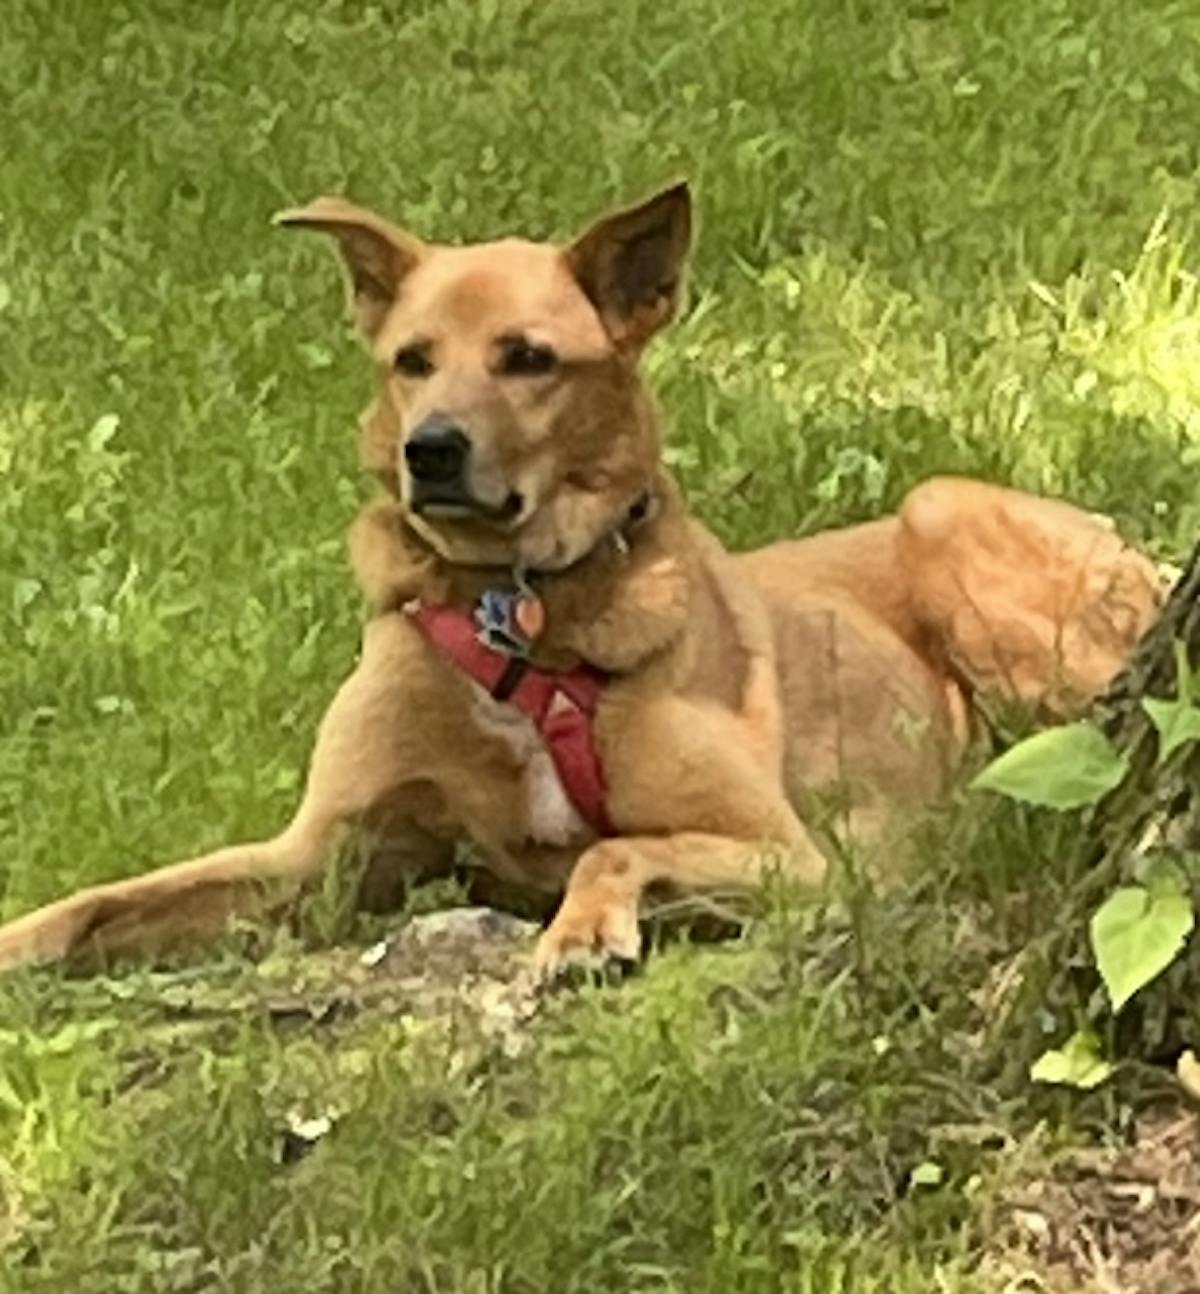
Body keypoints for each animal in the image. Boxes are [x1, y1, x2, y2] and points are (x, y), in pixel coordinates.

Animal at [0, 179, 1170, 973]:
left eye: (528, 358)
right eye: (410, 359)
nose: (431, 449)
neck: (516, 610)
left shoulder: (789, 849)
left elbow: (613, 850)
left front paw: (580, 931)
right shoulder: (320, 861)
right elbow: (109, 897)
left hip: (945, 515)